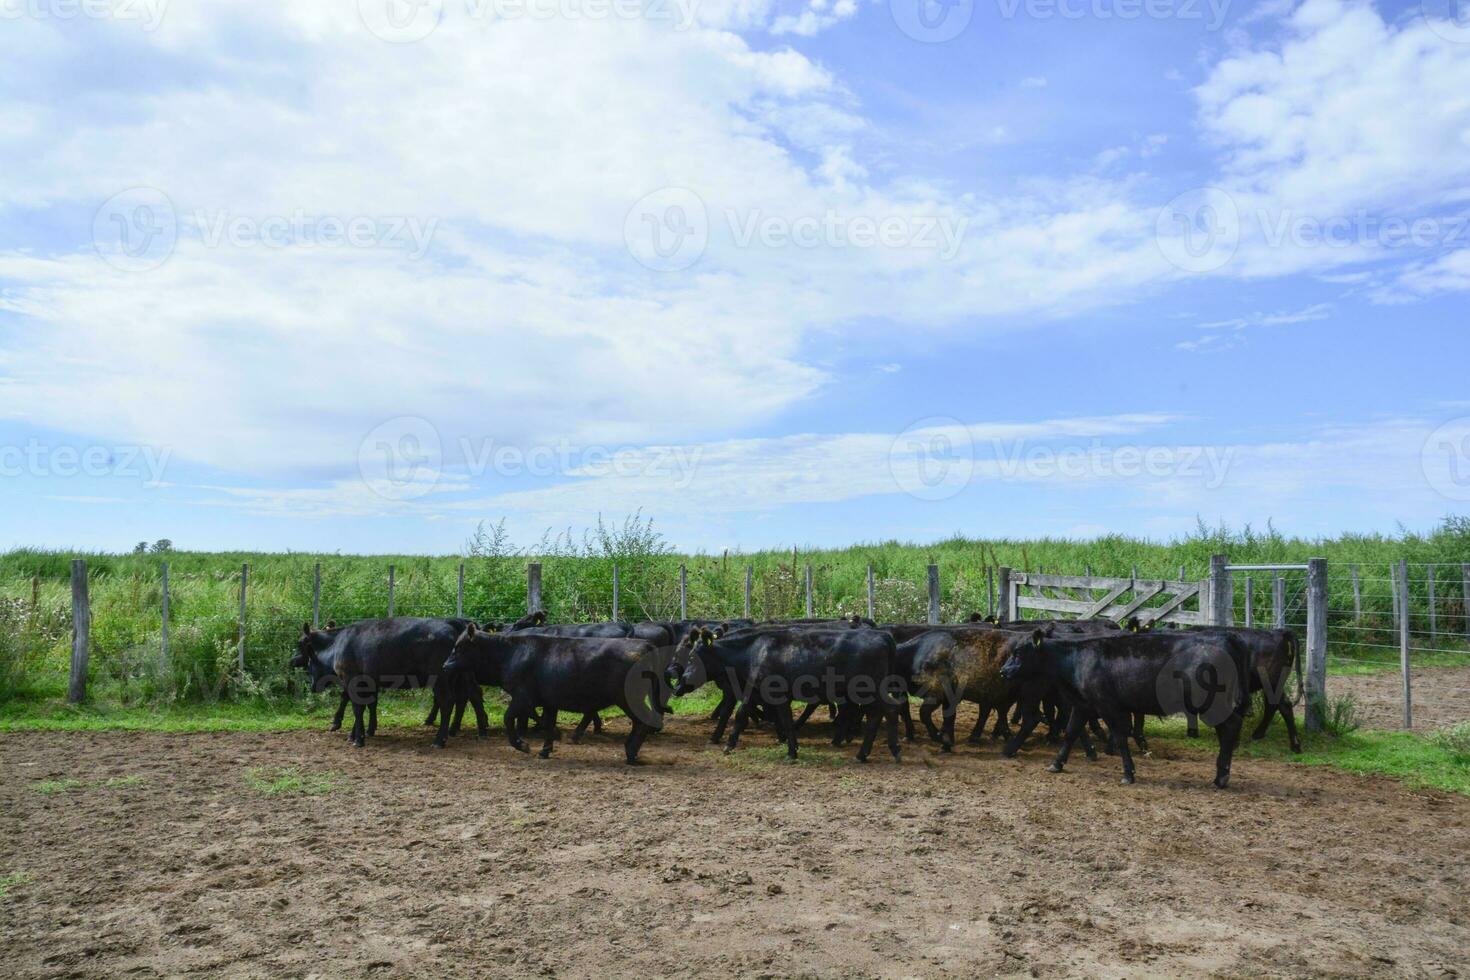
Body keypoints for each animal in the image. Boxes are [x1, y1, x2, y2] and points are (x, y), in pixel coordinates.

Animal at [435, 628, 667, 764]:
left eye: (459, 647)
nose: (444, 666)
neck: (510, 653)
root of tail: (646, 644)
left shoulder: (522, 697)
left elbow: (509, 718)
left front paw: (522, 745)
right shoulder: (549, 701)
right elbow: (547, 723)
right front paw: (546, 748)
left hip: (628, 698)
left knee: (643, 722)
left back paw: (630, 752)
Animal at [993, 631, 1246, 787]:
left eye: (1018, 652)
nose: (1003, 672)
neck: (1077, 660)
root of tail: (1226, 637)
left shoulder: (1109, 706)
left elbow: (1121, 738)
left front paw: (1128, 773)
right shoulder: (1082, 704)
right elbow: (1071, 732)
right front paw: (1056, 764)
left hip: (1212, 703)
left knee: (1230, 728)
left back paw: (1222, 776)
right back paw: (1220, 774)